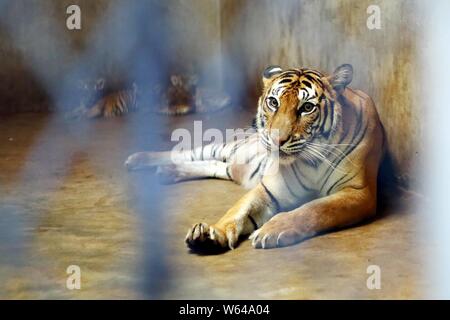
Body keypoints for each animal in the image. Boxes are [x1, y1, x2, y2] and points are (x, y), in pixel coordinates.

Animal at [125, 63, 384, 251]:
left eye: (307, 107)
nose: (277, 140)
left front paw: (272, 230)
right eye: (273, 102)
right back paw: (137, 159)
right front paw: (212, 233)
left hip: (232, 163)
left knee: (218, 166)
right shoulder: (271, 188)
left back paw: (167, 172)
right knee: (186, 153)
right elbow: (238, 210)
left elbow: (314, 209)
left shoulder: (359, 192)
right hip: (227, 146)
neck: (313, 161)